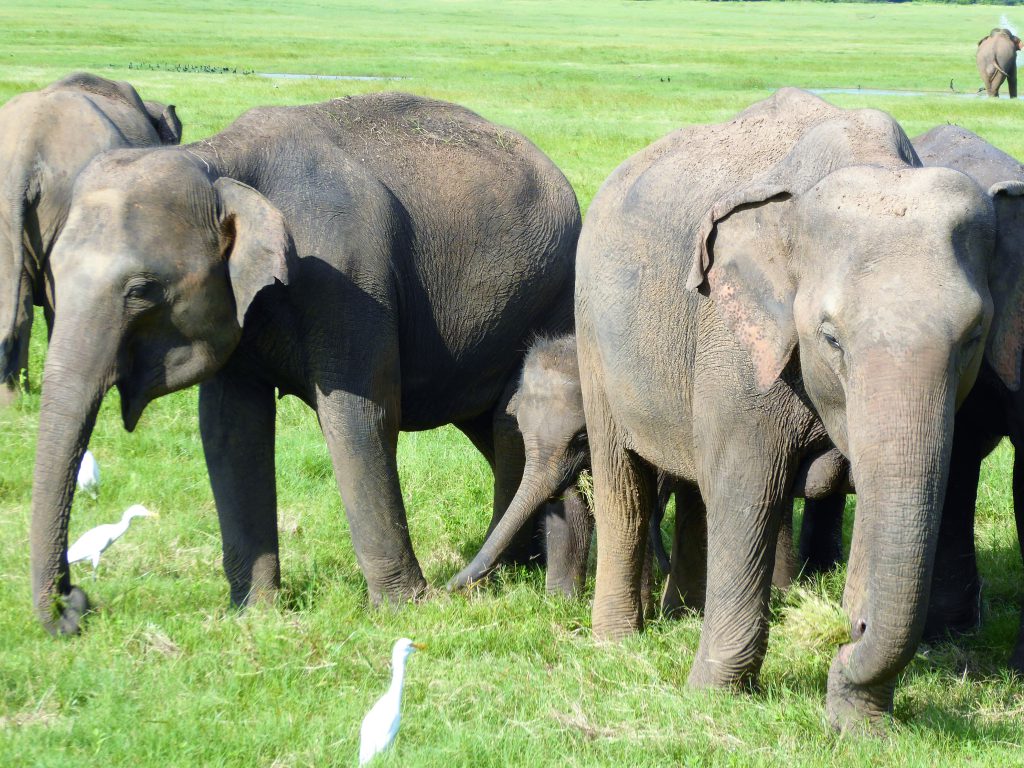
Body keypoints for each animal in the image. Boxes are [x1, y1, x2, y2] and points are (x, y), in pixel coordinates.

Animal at [28, 91, 581, 638]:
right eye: (51, 278)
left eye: (142, 290)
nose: (75, 606)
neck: (217, 160)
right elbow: (230, 430)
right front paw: (255, 614)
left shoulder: (347, 277)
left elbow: (361, 417)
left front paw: (403, 610)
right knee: (493, 425)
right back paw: (520, 565)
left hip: (549, 299)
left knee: (507, 425)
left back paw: (510, 570)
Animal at [573, 87, 1019, 729]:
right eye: (830, 337)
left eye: (974, 336)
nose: (853, 631)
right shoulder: (734, 340)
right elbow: (749, 490)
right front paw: (712, 696)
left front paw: (858, 724)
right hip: (592, 334)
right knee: (624, 489)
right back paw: (616, 641)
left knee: (693, 487)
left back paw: (683, 612)